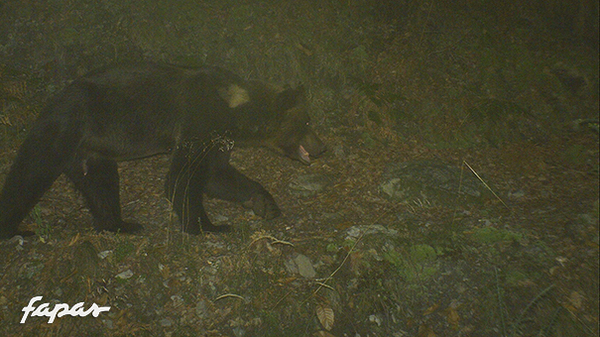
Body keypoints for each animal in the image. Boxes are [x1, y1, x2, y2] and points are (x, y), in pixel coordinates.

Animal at [0, 61, 326, 238]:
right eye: (308, 120)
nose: (322, 147)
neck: (235, 110)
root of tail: (50, 101)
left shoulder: (220, 136)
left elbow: (217, 175)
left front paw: (264, 202)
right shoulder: (199, 121)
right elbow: (183, 177)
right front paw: (208, 225)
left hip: (91, 150)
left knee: (101, 183)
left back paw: (120, 224)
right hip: (66, 125)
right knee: (30, 173)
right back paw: (15, 228)